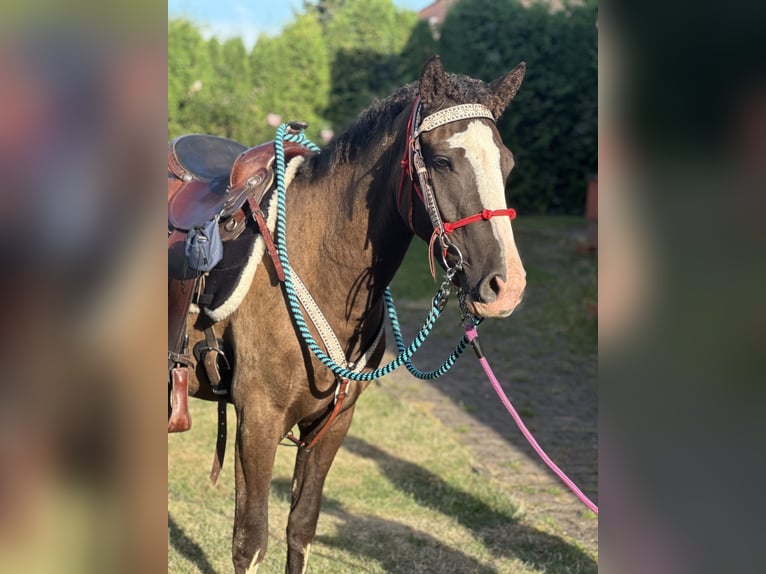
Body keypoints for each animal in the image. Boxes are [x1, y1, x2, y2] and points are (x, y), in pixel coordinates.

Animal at [180, 55, 528, 574]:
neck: (315, 256)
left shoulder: (333, 423)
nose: (506, 286)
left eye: (506, 163)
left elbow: (300, 528)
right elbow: (250, 541)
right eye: (442, 161)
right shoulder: (257, 419)